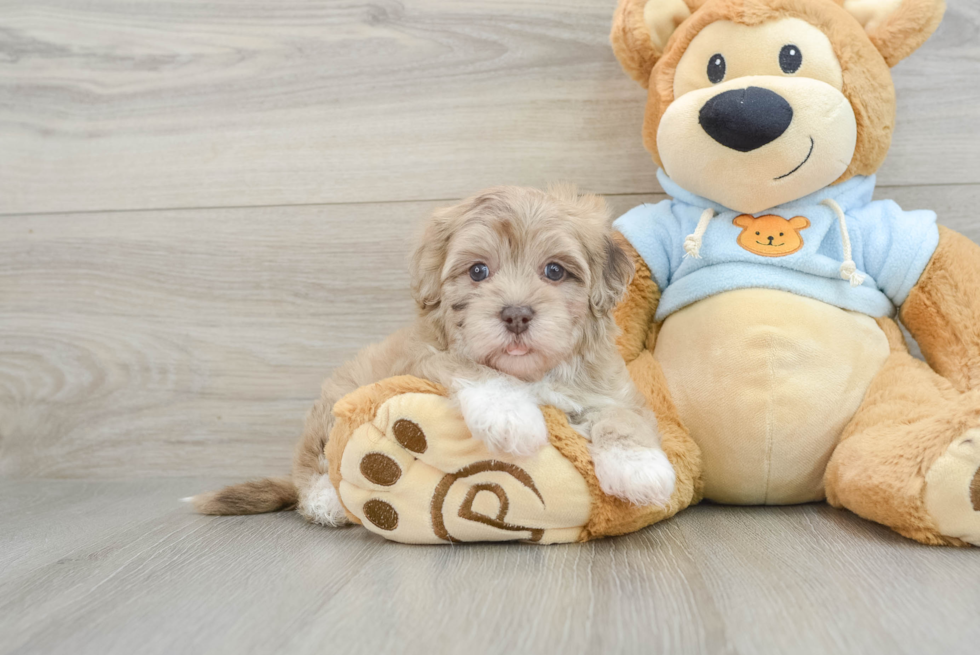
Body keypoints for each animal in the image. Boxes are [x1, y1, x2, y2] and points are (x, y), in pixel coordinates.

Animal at [195, 187, 676, 524]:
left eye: (555, 270)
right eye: (478, 271)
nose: (516, 314)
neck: (530, 374)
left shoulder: (610, 388)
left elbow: (624, 417)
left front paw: (640, 468)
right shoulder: (422, 357)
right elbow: (471, 368)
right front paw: (511, 418)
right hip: (333, 405)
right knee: (313, 471)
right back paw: (329, 501)